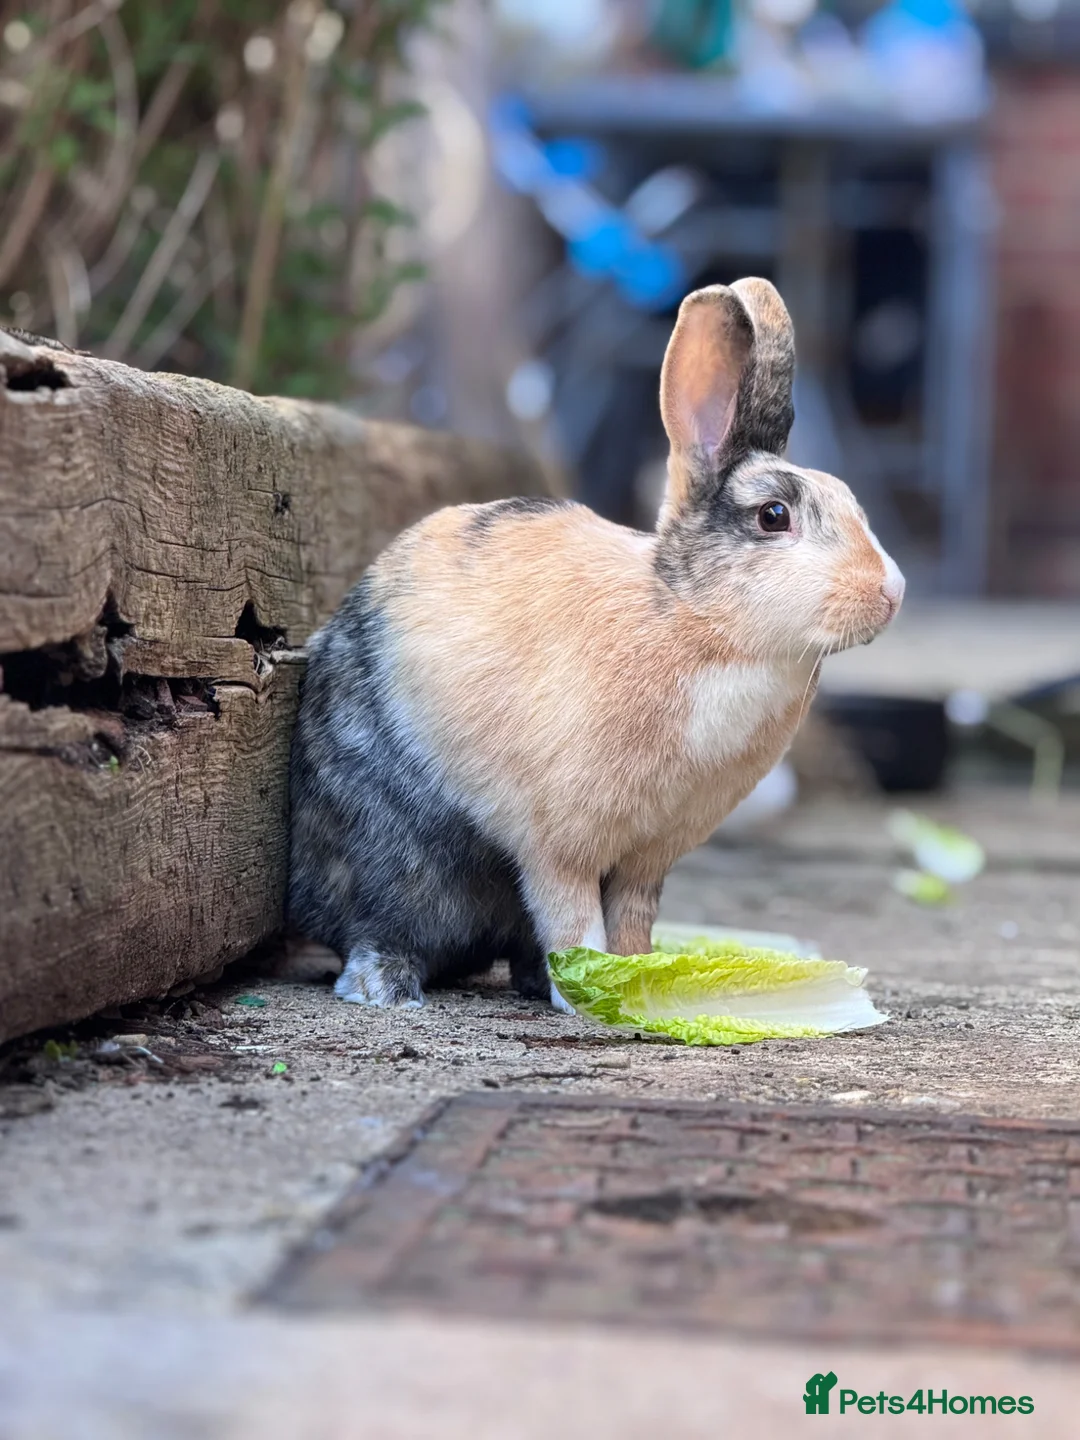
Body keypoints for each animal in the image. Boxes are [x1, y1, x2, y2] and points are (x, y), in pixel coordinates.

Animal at [288, 277, 904, 1011]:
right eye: (773, 516)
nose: (892, 590)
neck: (695, 622)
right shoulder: (560, 846)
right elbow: (571, 917)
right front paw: (590, 992)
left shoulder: (648, 857)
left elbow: (633, 918)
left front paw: (642, 978)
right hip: (396, 855)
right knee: (379, 925)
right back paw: (387, 988)